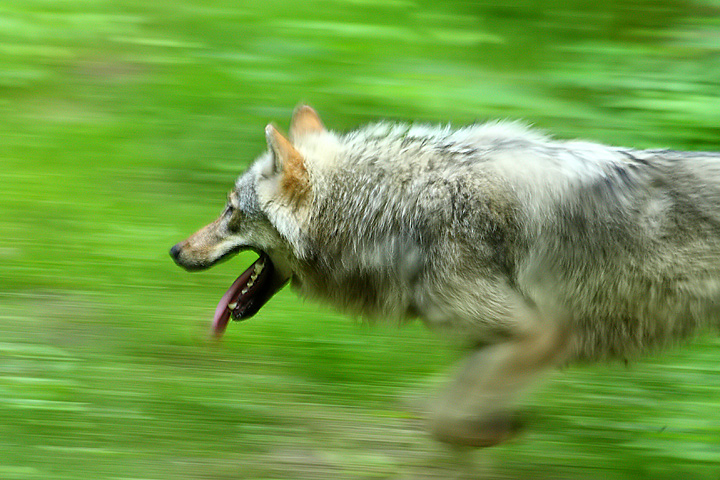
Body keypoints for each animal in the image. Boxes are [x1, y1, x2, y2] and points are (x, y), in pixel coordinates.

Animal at [170, 105, 720, 447]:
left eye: (229, 211)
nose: (174, 251)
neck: (395, 209)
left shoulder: (543, 334)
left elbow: (445, 419)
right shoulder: (491, 344)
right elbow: (446, 414)